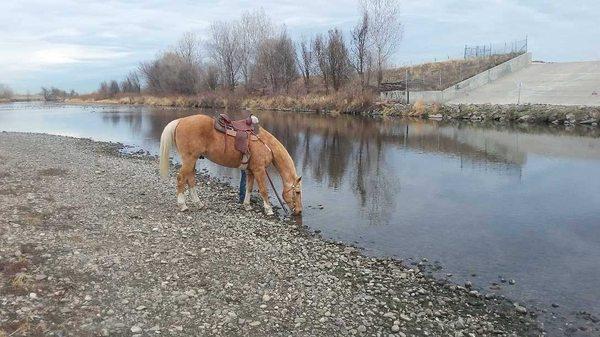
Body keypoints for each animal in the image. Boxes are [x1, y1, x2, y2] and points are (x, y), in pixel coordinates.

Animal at [158, 114, 302, 215]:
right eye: (298, 192)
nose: (299, 211)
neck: (266, 144)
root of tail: (181, 120)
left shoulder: (251, 171)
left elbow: (249, 188)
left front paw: (247, 205)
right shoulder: (259, 170)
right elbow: (263, 190)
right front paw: (269, 210)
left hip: (192, 160)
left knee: (191, 180)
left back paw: (199, 204)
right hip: (189, 159)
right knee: (181, 179)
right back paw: (183, 205)